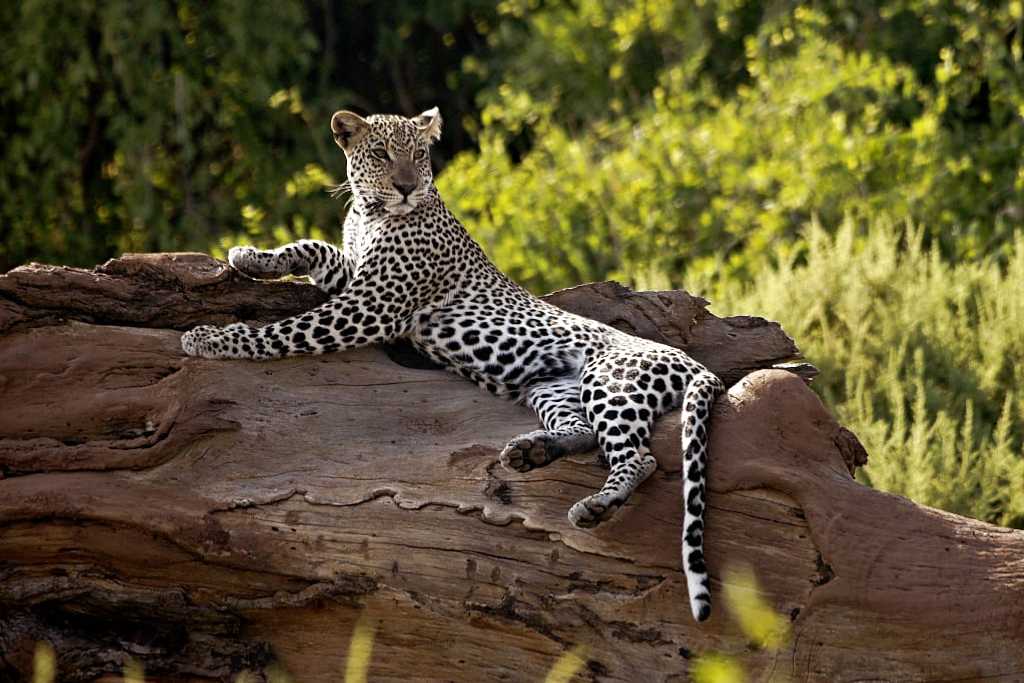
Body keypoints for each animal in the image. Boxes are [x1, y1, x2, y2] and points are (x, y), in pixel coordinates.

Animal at [184, 107, 729, 626]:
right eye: (381, 154)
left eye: (419, 155)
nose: (406, 186)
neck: (368, 213)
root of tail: (695, 362)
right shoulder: (356, 282)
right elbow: (315, 247)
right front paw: (249, 255)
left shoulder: (370, 307)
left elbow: (284, 332)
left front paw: (211, 338)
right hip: (551, 386)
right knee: (583, 432)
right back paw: (531, 452)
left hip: (610, 380)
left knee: (640, 458)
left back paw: (595, 505)